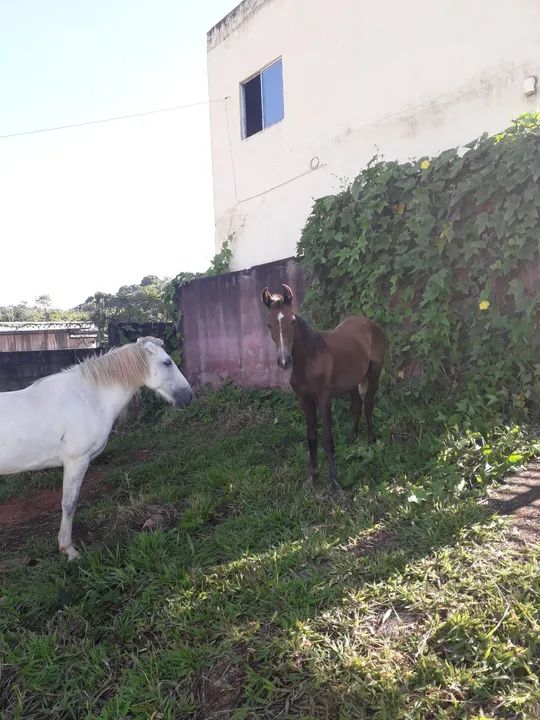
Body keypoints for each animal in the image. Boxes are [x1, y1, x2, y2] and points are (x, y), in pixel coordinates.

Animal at [0, 337, 193, 559]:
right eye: (167, 362)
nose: (189, 396)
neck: (88, 397)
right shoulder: (76, 461)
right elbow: (69, 504)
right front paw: (69, 550)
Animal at [262, 284, 387, 495]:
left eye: (292, 320)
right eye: (269, 325)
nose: (284, 361)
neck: (310, 358)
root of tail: (371, 324)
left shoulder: (323, 399)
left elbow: (327, 440)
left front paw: (334, 484)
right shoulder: (304, 400)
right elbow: (312, 437)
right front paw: (312, 478)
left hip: (374, 372)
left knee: (368, 403)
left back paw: (371, 440)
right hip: (351, 381)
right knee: (357, 405)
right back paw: (352, 439)